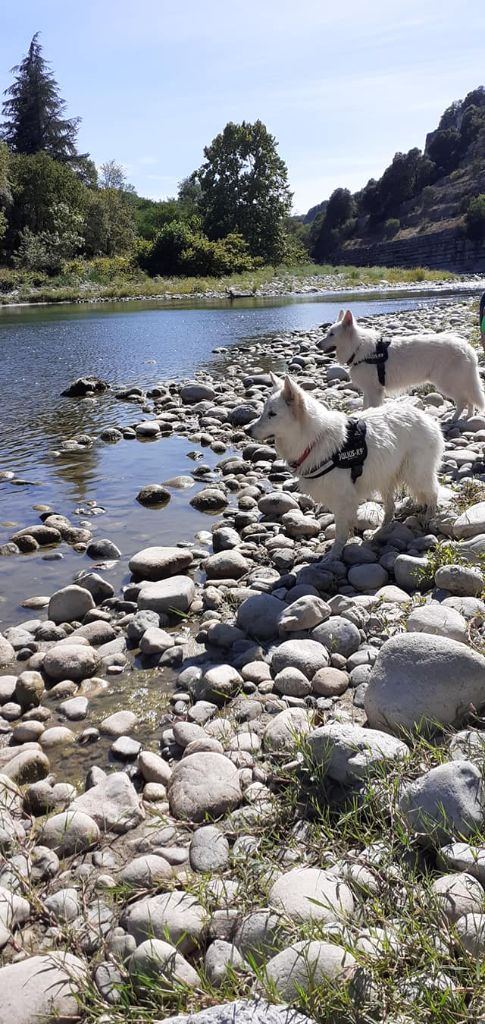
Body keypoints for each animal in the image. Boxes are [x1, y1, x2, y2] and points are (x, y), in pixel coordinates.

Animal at [247, 373, 444, 557]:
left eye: (272, 414)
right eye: (264, 412)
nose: (247, 430)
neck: (314, 440)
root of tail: (427, 418)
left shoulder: (342, 498)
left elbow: (341, 530)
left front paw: (334, 555)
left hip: (415, 474)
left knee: (433, 492)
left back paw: (429, 516)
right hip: (385, 477)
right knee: (391, 508)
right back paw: (380, 530)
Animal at [319, 309, 485, 421]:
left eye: (331, 334)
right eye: (327, 333)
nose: (316, 344)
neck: (358, 347)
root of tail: (467, 348)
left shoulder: (374, 391)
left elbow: (372, 408)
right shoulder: (368, 390)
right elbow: (365, 407)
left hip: (446, 384)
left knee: (463, 400)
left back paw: (454, 419)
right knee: (470, 399)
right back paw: (468, 417)